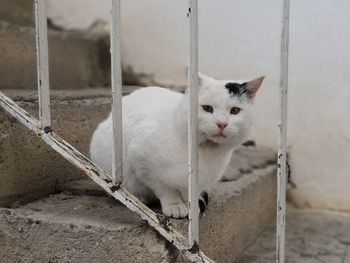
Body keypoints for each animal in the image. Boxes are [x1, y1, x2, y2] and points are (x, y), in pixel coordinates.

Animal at [89, 73, 264, 219]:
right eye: (207, 108)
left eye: (234, 111)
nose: (222, 124)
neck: (207, 152)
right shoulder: (141, 158)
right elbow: (165, 188)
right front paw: (175, 205)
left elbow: (190, 193)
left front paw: (192, 205)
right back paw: (139, 197)